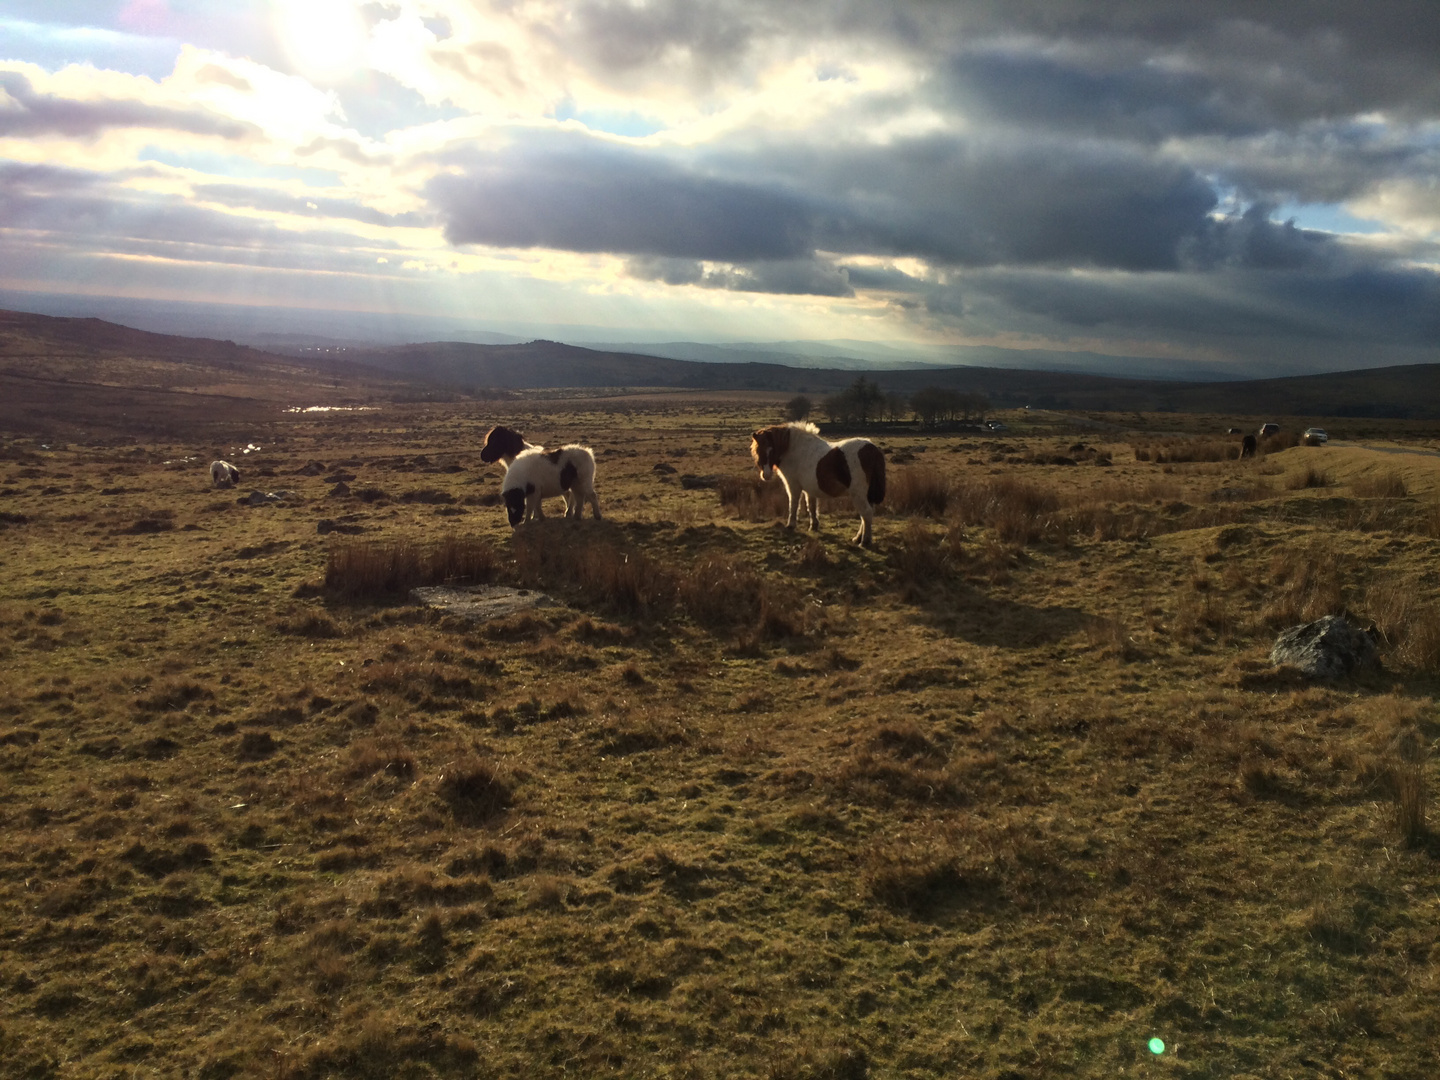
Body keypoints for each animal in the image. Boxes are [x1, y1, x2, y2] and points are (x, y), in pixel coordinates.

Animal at [748, 423, 881, 550]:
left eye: (771, 450)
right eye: (759, 450)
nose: (766, 475)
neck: (794, 449)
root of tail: (872, 449)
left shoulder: (793, 485)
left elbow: (793, 505)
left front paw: (791, 525)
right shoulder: (809, 488)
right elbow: (811, 506)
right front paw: (813, 526)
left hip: (858, 494)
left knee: (866, 513)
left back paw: (864, 541)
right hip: (866, 495)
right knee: (866, 515)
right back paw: (858, 538)